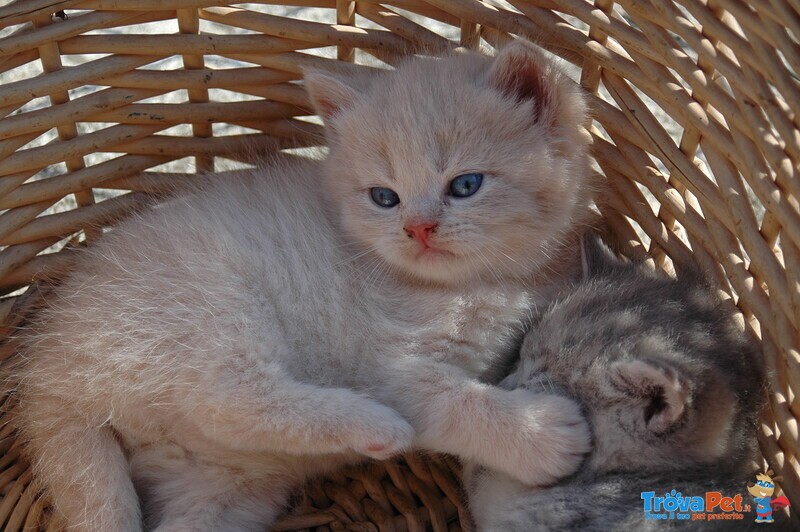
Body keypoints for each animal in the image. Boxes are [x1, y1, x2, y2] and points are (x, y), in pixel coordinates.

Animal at [10, 42, 592, 532]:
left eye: (466, 185)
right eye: (384, 197)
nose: (418, 228)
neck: (477, 285)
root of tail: (50, 378)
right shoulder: (388, 365)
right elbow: (457, 402)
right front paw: (538, 433)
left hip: (224, 485)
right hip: (214, 302)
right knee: (224, 398)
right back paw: (376, 425)